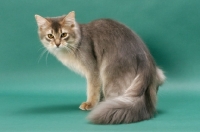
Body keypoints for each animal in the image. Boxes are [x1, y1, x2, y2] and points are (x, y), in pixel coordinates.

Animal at [34, 11, 166, 124]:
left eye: (64, 34)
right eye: (50, 36)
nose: (57, 44)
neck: (78, 40)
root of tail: (146, 59)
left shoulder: (93, 70)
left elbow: (92, 89)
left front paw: (90, 104)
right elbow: (98, 90)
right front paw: (98, 101)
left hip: (109, 75)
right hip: (159, 75)